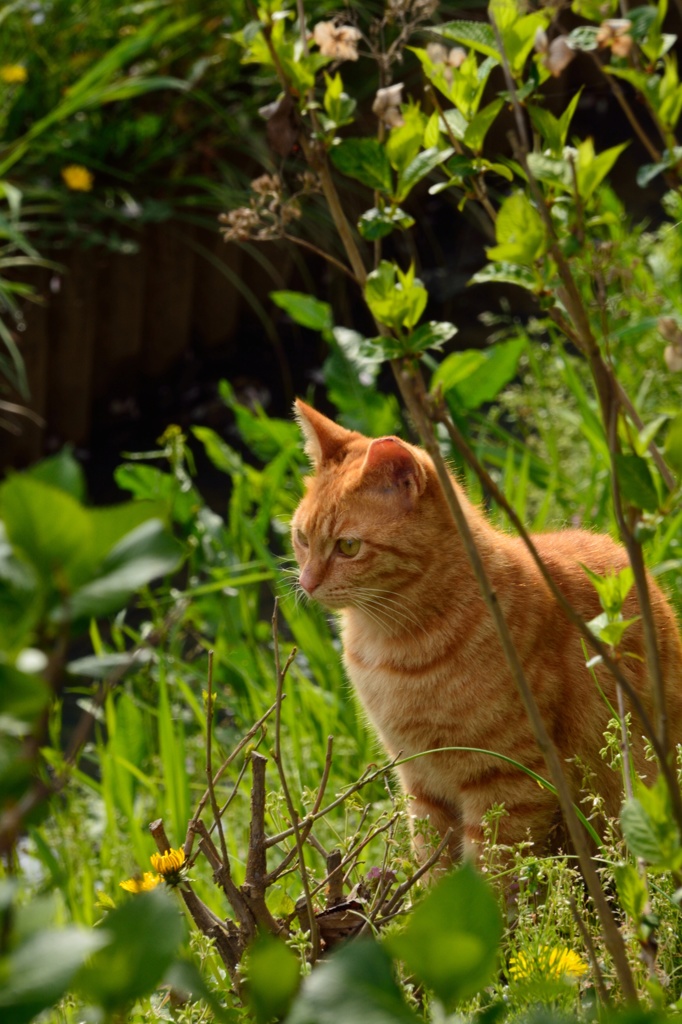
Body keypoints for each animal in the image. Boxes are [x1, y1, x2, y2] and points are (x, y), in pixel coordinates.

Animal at [288, 395, 679, 860]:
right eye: (302, 538)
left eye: (348, 546)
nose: (307, 582)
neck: (389, 646)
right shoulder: (421, 785)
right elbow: (434, 865)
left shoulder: (507, 782)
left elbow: (491, 873)